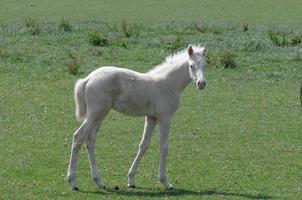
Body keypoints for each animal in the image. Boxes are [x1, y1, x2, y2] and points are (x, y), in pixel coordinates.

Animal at [67, 44, 206, 191]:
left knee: (90, 139)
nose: (201, 83)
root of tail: (88, 79)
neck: (168, 84)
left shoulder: (151, 118)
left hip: (99, 115)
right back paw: (73, 182)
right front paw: (166, 182)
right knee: (78, 137)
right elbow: (164, 147)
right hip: (96, 113)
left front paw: (131, 179)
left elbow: (143, 145)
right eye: (191, 65)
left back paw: (99, 181)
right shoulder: (165, 117)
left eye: (205, 64)